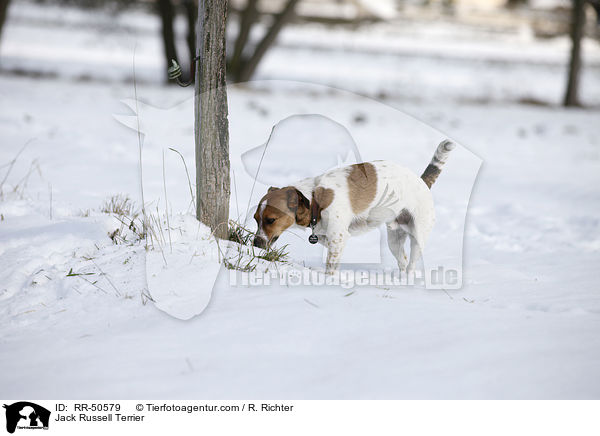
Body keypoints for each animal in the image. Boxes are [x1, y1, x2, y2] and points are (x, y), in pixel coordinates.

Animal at [253, 141, 454, 274]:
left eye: (271, 220)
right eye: (256, 219)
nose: (255, 243)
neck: (315, 199)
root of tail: (422, 181)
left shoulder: (338, 237)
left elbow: (331, 267)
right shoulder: (331, 238)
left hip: (418, 237)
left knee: (411, 264)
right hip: (394, 239)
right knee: (403, 262)